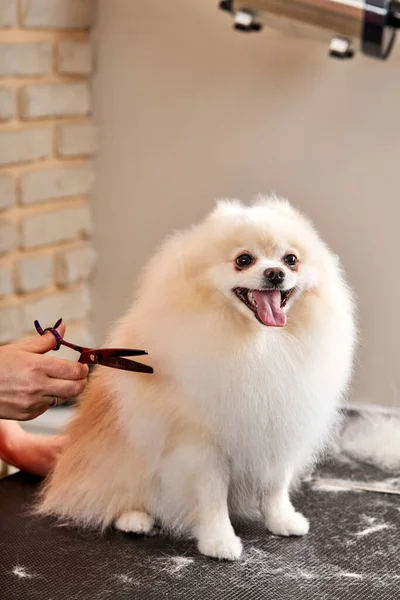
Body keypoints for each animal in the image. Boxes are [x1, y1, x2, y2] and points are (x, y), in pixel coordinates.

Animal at [38, 196, 356, 556]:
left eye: (291, 260)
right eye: (243, 260)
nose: (275, 273)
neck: (259, 346)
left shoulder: (276, 429)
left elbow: (275, 486)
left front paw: (283, 521)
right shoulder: (201, 445)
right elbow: (213, 497)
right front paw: (220, 541)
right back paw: (135, 518)